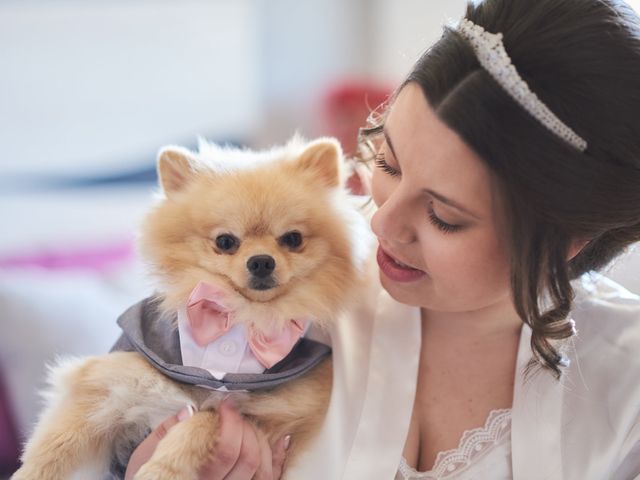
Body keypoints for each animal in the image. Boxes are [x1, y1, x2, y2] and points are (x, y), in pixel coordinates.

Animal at [12, 137, 372, 478]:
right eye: (225, 242)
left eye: (293, 239)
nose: (261, 261)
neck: (239, 316)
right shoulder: (112, 381)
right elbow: (58, 440)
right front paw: (29, 473)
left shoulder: (251, 416)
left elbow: (197, 425)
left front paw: (159, 470)